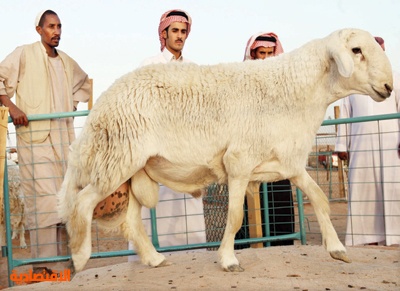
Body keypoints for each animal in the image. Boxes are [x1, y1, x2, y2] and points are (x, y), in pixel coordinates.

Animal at [57, 27, 392, 274]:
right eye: (356, 51)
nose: (389, 87)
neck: (293, 91)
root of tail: (100, 106)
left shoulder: (290, 164)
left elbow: (321, 199)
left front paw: (337, 249)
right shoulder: (239, 162)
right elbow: (234, 217)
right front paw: (228, 260)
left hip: (129, 169)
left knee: (130, 221)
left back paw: (154, 258)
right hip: (116, 160)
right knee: (83, 203)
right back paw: (80, 257)